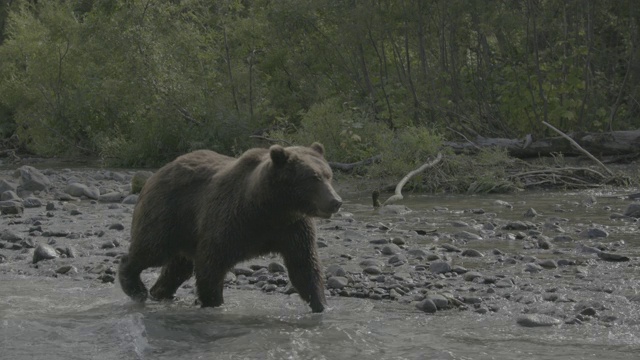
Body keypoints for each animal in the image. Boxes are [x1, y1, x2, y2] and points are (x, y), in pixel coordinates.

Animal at [118, 141, 342, 312]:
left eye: (328, 174)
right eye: (313, 177)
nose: (336, 201)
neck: (269, 208)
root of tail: (158, 171)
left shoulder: (292, 228)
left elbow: (304, 266)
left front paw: (321, 305)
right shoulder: (231, 221)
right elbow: (212, 263)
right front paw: (213, 302)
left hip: (188, 231)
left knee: (178, 267)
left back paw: (159, 292)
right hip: (168, 214)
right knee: (151, 249)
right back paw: (136, 287)